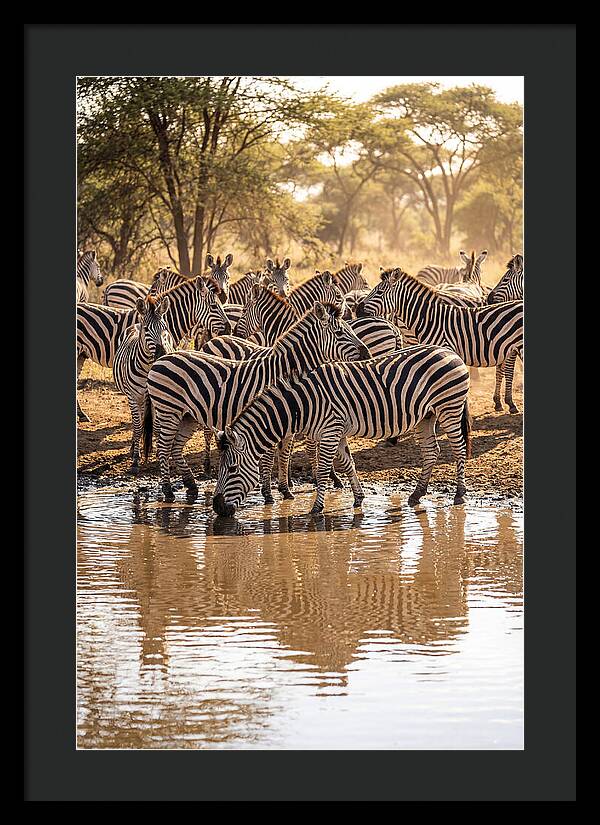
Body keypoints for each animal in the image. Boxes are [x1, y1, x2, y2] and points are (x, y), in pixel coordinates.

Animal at [113, 295, 175, 472]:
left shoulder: (160, 398)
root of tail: (136, 324)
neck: (148, 368)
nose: (162, 354)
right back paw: (134, 447)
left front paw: (160, 454)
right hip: (135, 397)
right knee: (138, 421)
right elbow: (138, 425)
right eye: (147, 330)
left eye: (165, 328)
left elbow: (158, 427)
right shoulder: (133, 396)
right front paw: (135, 459)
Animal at [142, 303, 370, 502]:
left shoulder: (287, 420)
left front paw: (285, 490)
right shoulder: (271, 417)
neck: (283, 371)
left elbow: (284, 454)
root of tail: (161, 359)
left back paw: (191, 485)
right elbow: (269, 457)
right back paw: (168, 491)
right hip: (168, 411)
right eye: (340, 333)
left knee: (175, 448)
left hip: (187, 416)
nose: (367, 353)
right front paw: (268, 494)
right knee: (163, 448)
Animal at [211, 344, 472, 517]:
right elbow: (348, 464)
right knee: (431, 451)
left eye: (232, 469)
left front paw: (316, 509)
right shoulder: (336, 432)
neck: (303, 403)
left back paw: (460, 493)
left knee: (458, 448)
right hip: (425, 416)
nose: (217, 507)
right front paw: (358, 498)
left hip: (449, 407)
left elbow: (323, 471)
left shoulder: (330, 431)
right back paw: (417, 494)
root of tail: (450, 352)